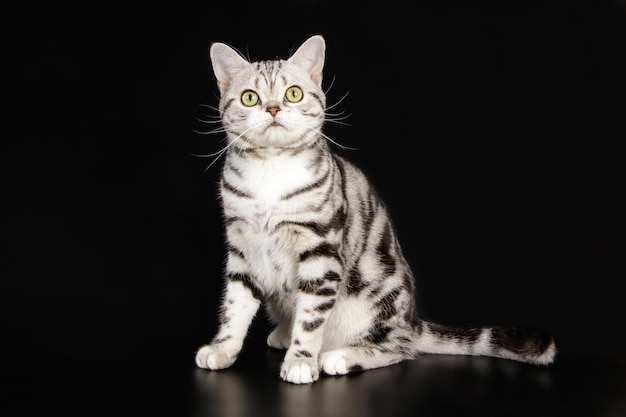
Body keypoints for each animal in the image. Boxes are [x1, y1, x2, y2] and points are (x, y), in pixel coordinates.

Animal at [195, 34, 556, 382]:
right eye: (250, 98)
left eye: (293, 94)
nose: (272, 109)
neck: (270, 171)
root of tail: (411, 321)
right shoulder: (242, 249)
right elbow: (235, 306)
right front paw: (222, 349)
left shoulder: (321, 252)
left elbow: (311, 319)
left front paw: (300, 361)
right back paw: (285, 333)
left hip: (378, 301)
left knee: (399, 348)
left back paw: (340, 356)